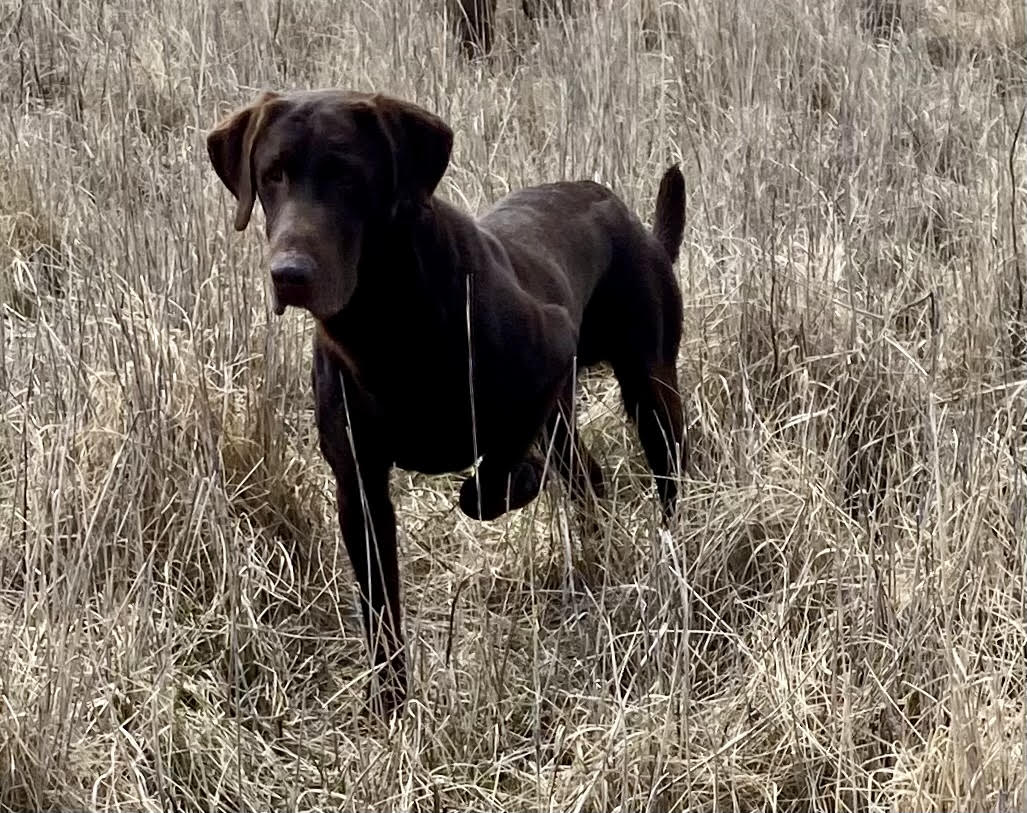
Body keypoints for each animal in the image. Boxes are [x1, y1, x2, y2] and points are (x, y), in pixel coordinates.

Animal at [206, 88, 690, 718]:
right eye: (271, 175)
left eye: (349, 175)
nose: (289, 274)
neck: (387, 324)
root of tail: (633, 222)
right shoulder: (359, 487)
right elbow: (380, 610)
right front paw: (390, 703)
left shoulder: (549, 355)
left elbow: (486, 484)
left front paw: (515, 480)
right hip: (568, 413)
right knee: (587, 474)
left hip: (650, 389)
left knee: (665, 478)